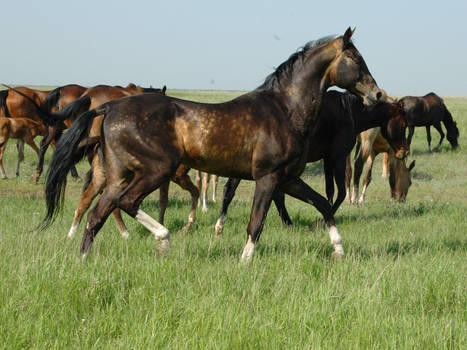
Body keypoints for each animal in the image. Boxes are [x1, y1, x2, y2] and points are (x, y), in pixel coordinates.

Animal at [44, 28, 388, 260]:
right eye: (356, 60)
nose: (377, 94)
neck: (284, 110)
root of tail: (108, 107)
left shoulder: (288, 179)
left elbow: (323, 204)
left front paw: (338, 249)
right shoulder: (268, 178)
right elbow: (256, 223)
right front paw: (244, 261)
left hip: (118, 175)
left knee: (97, 214)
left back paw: (84, 260)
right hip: (156, 169)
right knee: (125, 203)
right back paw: (165, 238)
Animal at [214, 89, 408, 235]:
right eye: (404, 124)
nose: (403, 151)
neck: (349, 112)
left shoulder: (327, 159)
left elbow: (330, 191)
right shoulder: (337, 157)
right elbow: (340, 193)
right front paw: (321, 221)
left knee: (232, 189)